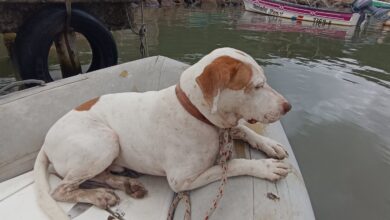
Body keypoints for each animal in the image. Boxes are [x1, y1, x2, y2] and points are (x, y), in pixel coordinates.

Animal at [35, 47, 292, 219]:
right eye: (258, 86)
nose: (288, 107)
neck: (196, 113)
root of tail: (45, 142)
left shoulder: (226, 127)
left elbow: (244, 129)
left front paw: (269, 144)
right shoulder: (182, 180)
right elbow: (234, 164)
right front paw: (266, 167)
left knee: (98, 175)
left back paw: (126, 184)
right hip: (105, 141)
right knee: (61, 189)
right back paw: (98, 196)